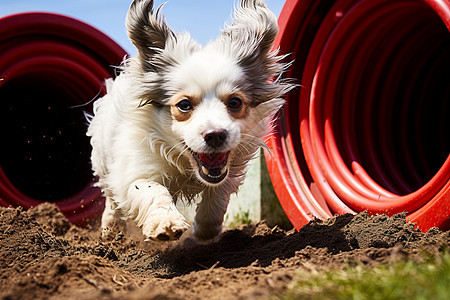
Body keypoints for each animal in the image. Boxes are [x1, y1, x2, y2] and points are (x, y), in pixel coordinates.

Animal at [86, 0, 294, 240]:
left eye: (235, 102)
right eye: (184, 105)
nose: (216, 135)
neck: (186, 165)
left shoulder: (228, 171)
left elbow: (218, 194)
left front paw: (205, 231)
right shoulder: (134, 170)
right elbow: (151, 190)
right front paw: (166, 223)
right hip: (104, 161)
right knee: (111, 199)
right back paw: (111, 231)